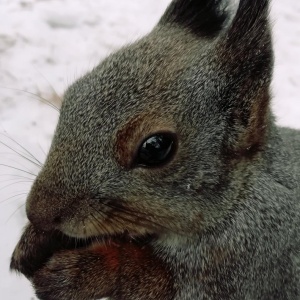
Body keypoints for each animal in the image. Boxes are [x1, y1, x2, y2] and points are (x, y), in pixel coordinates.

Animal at [9, 0, 300, 298]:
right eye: (71, 96)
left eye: (155, 148)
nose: (36, 213)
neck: (240, 197)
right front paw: (35, 240)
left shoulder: (251, 264)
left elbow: (153, 277)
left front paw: (84, 271)